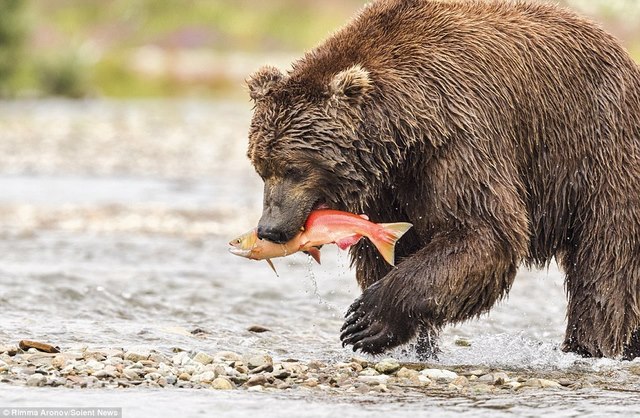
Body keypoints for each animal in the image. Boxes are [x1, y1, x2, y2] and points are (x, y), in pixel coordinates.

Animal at [244, 0, 640, 360]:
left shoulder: (459, 139)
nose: (270, 228)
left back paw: (588, 347)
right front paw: (409, 344)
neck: (406, 133)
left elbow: (481, 231)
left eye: (295, 168)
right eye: (261, 167)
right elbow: (387, 249)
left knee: (606, 260)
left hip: (599, 149)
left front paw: (366, 320)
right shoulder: (387, 184)